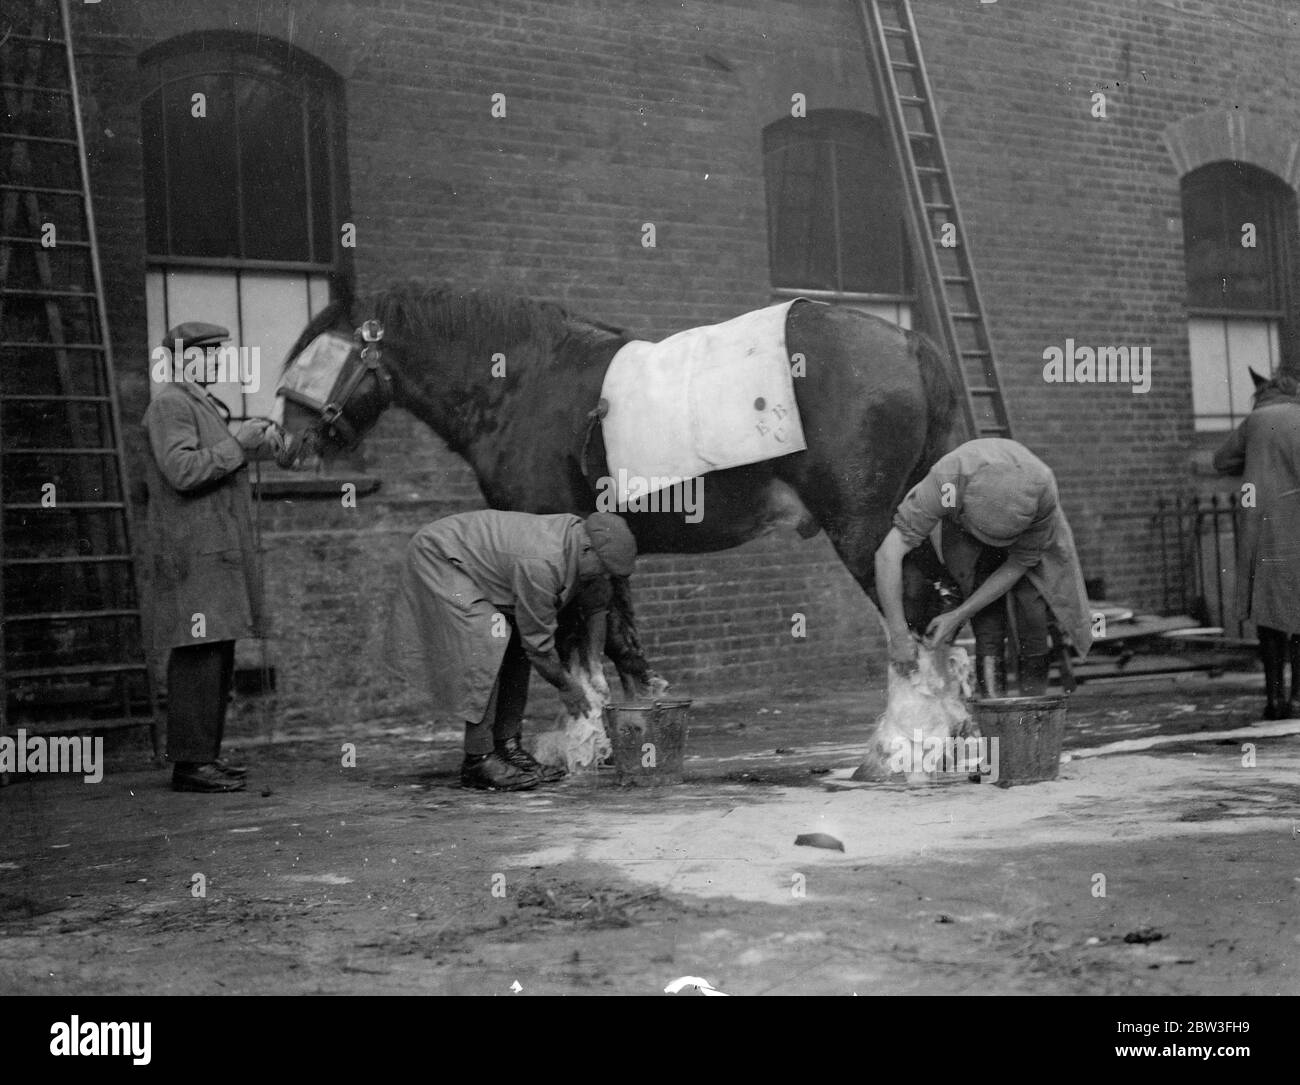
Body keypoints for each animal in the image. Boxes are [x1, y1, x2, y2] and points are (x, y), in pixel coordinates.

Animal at [274, 284, 961, 701]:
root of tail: (905, 342)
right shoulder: (604, 540)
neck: (520, 387)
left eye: (320, 357)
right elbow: (621, 634)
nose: (282, 444)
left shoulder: (554, 537)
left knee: (914, 607)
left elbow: (576, 644)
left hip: (861, 525)